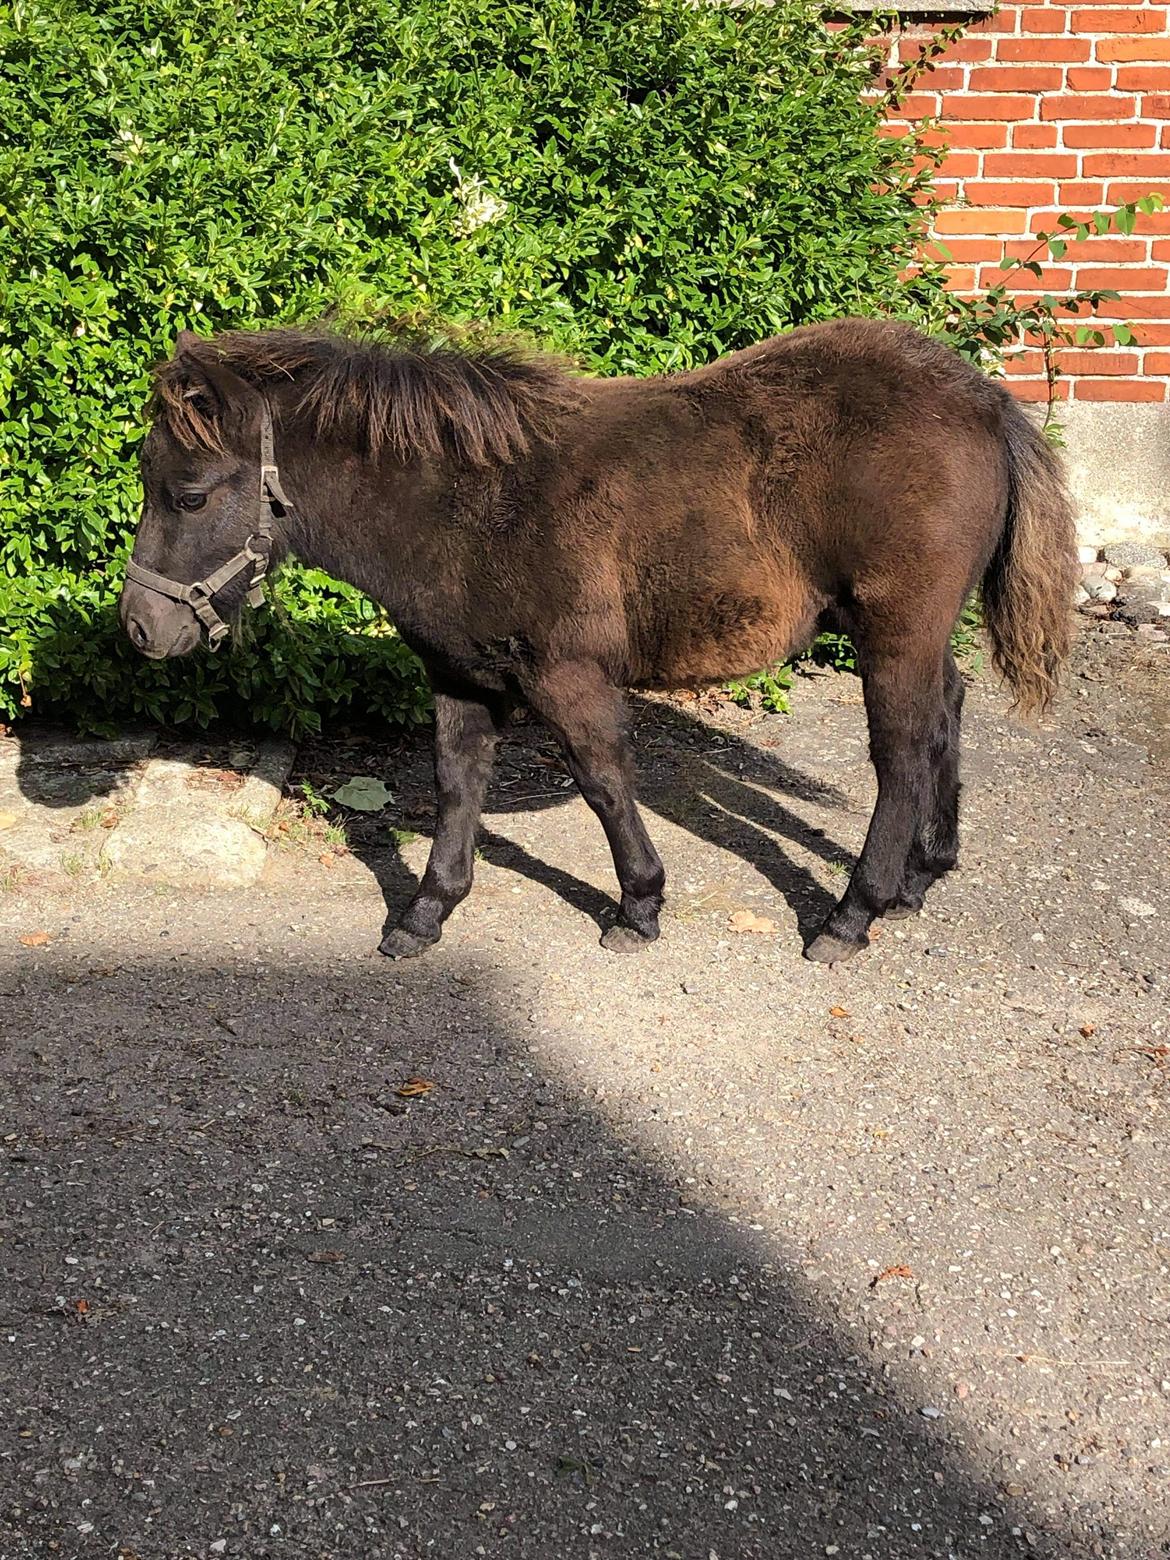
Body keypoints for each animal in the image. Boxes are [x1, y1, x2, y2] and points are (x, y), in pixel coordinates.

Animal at [121, 322, 1079, 960]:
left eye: (191, 494)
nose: (140, 627)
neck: (468, 503)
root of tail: (986, 400)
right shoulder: (462, 678)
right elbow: (456, 787)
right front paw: (425, 914)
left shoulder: (564, 673)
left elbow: (604, 779)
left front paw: (639, 907)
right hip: (916, 632)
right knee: (947, 714)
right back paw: (923, 876)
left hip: (893, 628)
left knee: (904, 753)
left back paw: (853, 914)